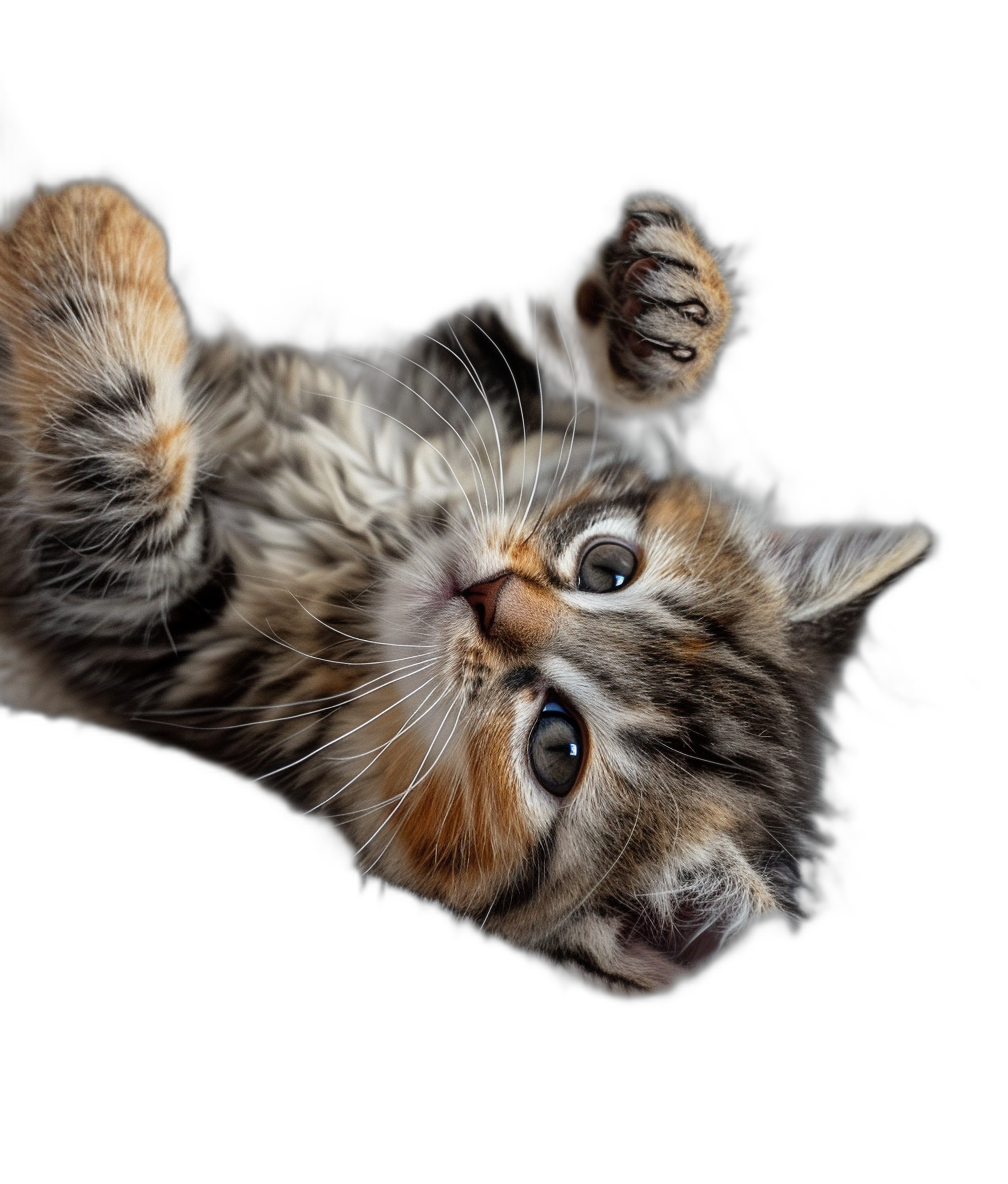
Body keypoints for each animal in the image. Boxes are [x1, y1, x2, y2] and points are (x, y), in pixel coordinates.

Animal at [0, 182, 928, 989]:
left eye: (558, 748)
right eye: (608, 568)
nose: (487, 597)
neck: (382, 543)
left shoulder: (159, 624)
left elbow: (118, 452)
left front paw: (85, 224)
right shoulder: (445, 380)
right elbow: (535, 347)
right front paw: (671, 306)